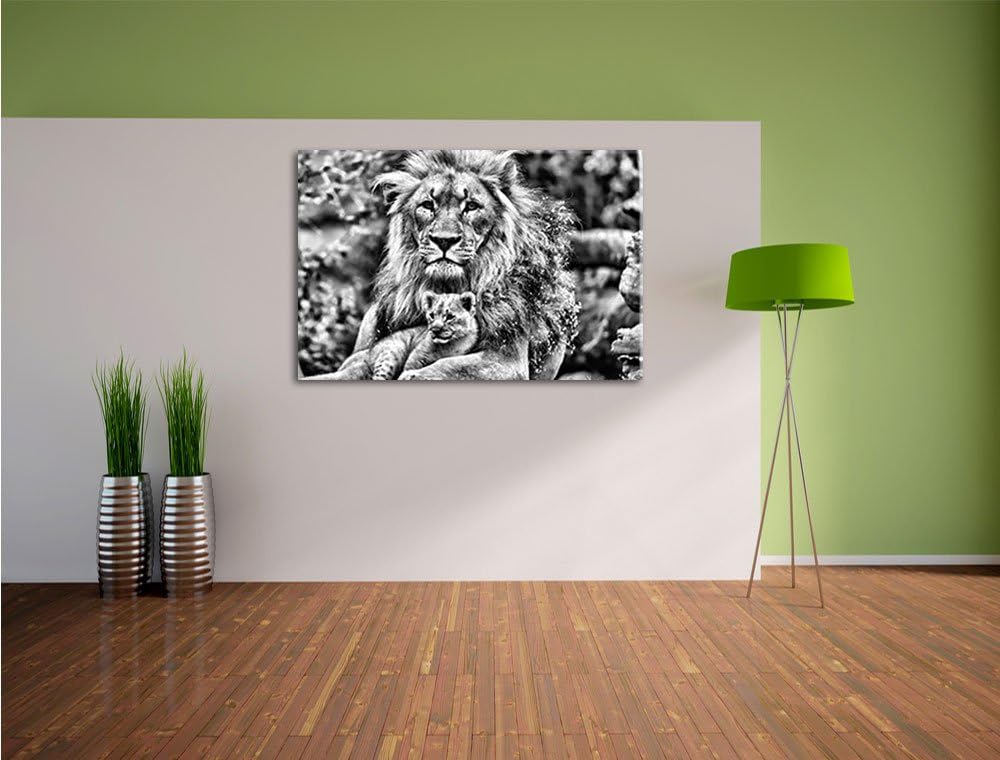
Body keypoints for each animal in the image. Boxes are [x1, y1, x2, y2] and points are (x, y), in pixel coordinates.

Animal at [318, 149, 579, 381]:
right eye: (427, 205)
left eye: (471, 206)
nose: (444, 240)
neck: (446, 285)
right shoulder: (365, 355)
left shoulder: (507, 362)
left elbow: (448, 366)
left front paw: (413, 374)